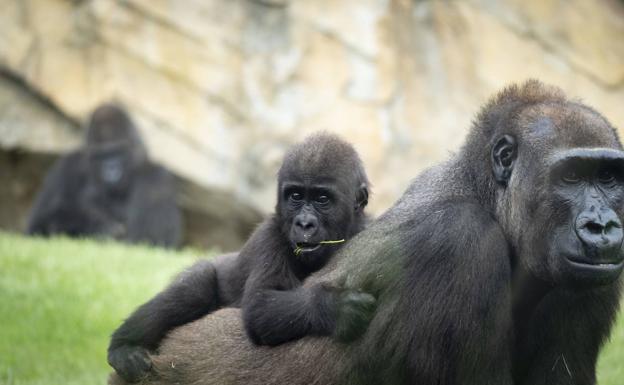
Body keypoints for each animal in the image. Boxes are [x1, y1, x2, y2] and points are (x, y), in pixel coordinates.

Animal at [28, 103, 182, 246]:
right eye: (101, 155)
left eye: (118, 151)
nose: (111, 170)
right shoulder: (66, 167)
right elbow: (37, 224)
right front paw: (100, 226)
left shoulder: (156, 178)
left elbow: (148, 237)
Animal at [106, 132, 376, 380]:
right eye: (296, 196)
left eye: (322, 199)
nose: (304, 223)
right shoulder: (270, 238)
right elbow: (259, 307)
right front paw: (336, 306)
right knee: (196, 288)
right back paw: (123, 346)